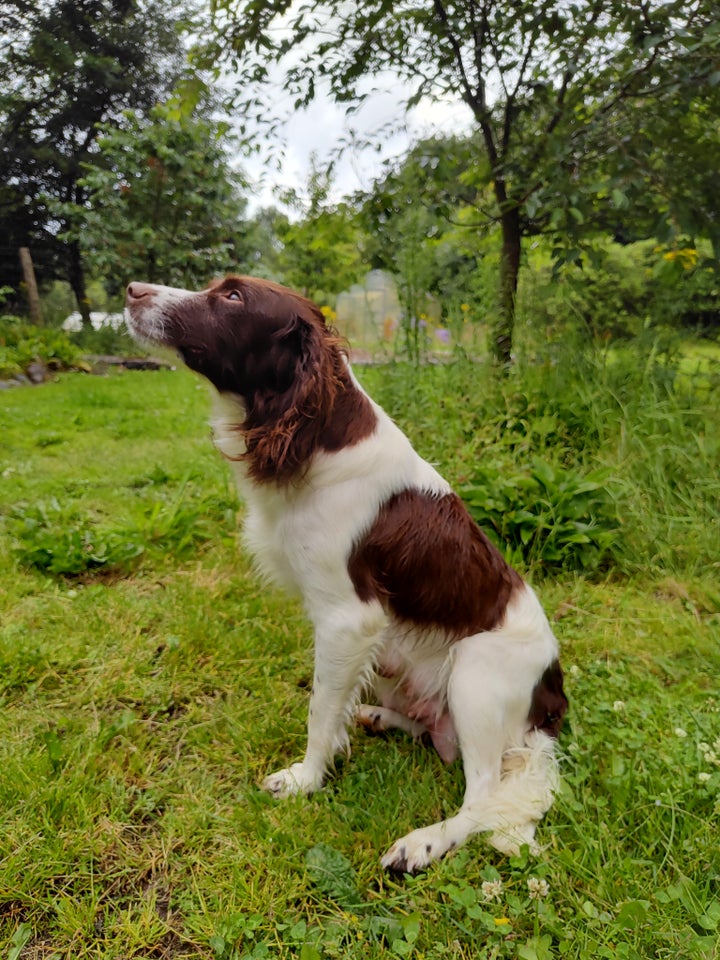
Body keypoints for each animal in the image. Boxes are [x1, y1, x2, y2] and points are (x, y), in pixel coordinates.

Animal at [124, 274, 564, 872]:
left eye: (233, 297)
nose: (132, 290)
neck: (315, 437)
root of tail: (553, 700)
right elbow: (330, 708)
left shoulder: (347, 621)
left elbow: (318, 711)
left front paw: (305, 779)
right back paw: (380, 718)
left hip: (475, 672)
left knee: (482, 796)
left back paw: (423, 842)